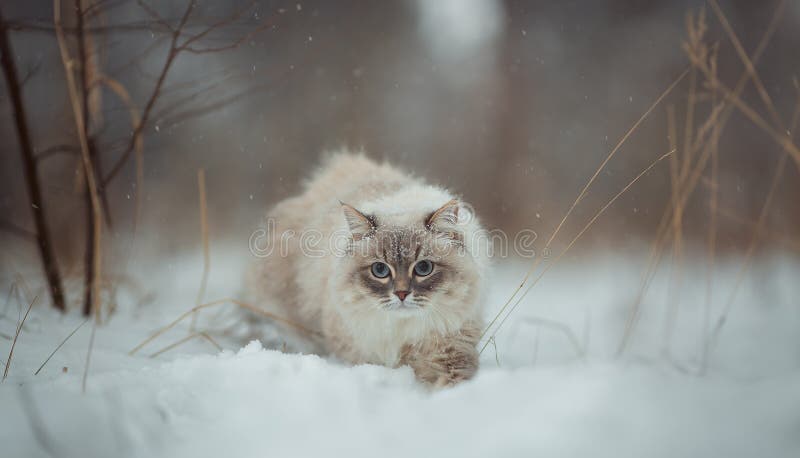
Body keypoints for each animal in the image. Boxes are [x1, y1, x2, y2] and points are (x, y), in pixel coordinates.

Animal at [248, 150, 488, 382]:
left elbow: (451, 378)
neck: (401, 332)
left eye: (423, 268)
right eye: (380, 270)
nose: (402, 294)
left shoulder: (448, 345)